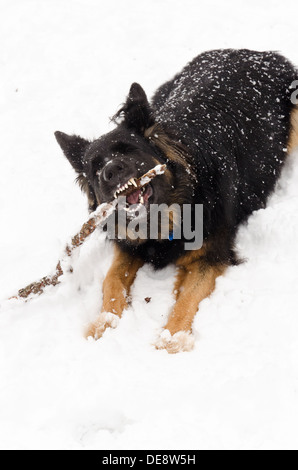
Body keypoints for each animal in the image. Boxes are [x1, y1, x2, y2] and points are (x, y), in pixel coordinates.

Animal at [54, 49, 298, 354]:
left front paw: (172, 339)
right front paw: (104, 324)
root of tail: (255, 53)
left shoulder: (211, 255)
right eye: (95, 168)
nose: (110, 171)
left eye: (128, 150)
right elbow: (111, 280)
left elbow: (188, 297)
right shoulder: (129, 246)